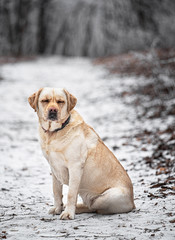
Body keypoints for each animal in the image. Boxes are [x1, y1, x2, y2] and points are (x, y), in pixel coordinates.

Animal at [28, 87, 135, 219]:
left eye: (60, 101)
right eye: (45, 101)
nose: (53, 110)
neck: (54, 133)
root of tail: (133, 203)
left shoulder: (75, 167)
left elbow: (70, 194)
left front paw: (68, 213)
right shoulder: (54, 169)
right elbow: (56, 192)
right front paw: (58, 209)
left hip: (107, 197)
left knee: (94, 207)